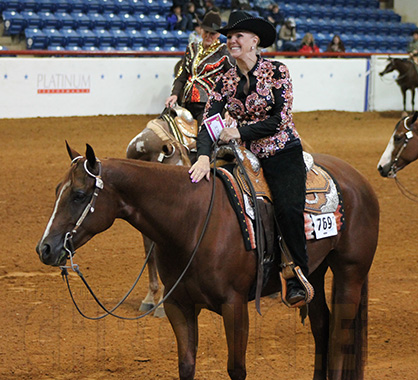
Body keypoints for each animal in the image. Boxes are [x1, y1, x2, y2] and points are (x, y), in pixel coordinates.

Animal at [37, 144, 380, 378]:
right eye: (55, 191)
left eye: (79, 195)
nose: (46, 248)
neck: (192, 221)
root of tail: (358, 180)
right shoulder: (179, 306)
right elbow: (186, 365)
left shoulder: (235, 306)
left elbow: (236, 368)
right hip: (315, 274)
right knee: (322, 327)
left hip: (350, 272)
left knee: (340, 335)